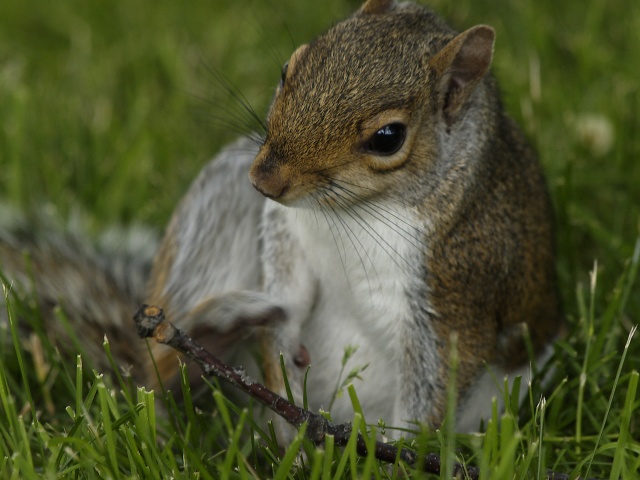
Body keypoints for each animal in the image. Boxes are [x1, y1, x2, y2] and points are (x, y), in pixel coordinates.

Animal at [0, 0, 560, 436]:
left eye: (388, 137)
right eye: (290, 68)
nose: (265, 180)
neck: (350, 213)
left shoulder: (455, 286)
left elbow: (438, 380)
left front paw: (401, 454)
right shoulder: (284, 229)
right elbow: (289, 296)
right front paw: (282, 352)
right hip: (223, 193)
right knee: (155, 377)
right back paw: (213, 336)